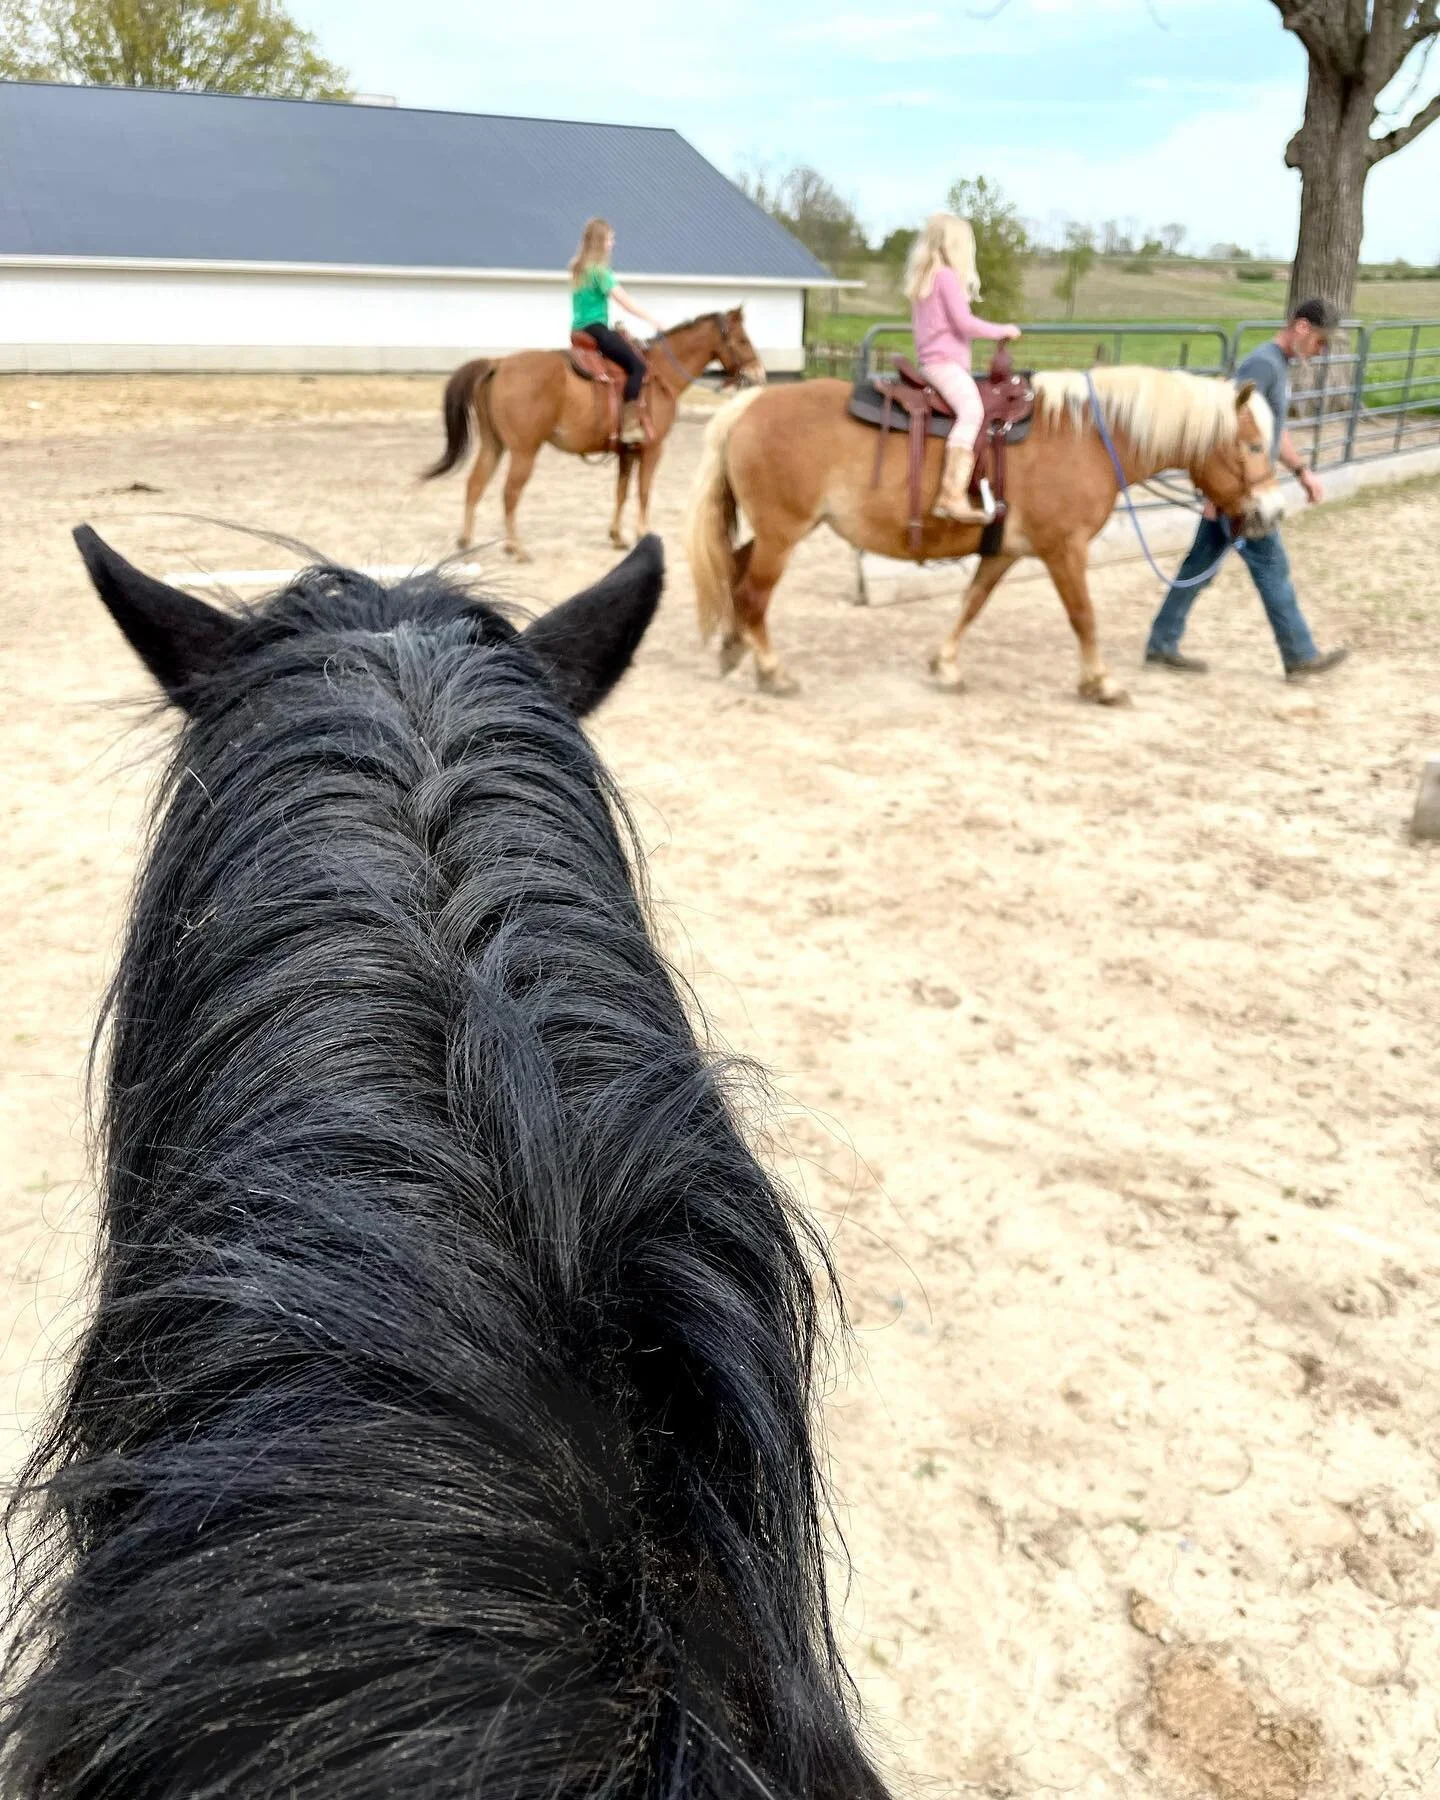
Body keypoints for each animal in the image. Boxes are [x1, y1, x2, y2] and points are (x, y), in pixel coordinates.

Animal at [424, 309, 765, 563]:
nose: (759, 374)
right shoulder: (653, 449)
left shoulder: (628, 451)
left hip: (494, 445)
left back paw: (467, 542)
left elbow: (621, 492)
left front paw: (617, 536)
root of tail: (499, 364)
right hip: (524, 451)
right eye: (743, 339)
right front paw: (642, 533)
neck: (658, 376)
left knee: (475, 484)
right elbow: (644, 491)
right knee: (509, 494)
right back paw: (516, 548)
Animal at [685, 364, 1283, 704]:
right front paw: (1101, 683)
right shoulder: (1064, 550)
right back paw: (771, 672)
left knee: (736, 570)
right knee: (752, 594)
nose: (1271, 512)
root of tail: (749, 404)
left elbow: (971, 603)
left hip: (772, 532)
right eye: (1254, 446)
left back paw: (733, 650)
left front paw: (945, 666)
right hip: (783, 533)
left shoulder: (1005, 551)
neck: (1087, 437)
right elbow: (1084, 616)